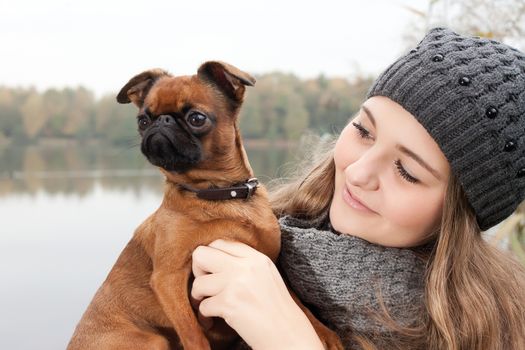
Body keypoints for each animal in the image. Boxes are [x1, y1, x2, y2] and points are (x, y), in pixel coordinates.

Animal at [67, 61, 340, 348]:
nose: (161, 122)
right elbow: (192, 332)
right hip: (153, 340)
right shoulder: (168, 279)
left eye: (196, 118)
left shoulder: (269, 262)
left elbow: (298, 304)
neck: (220, 194)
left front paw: (326, 334)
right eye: (142, 121)